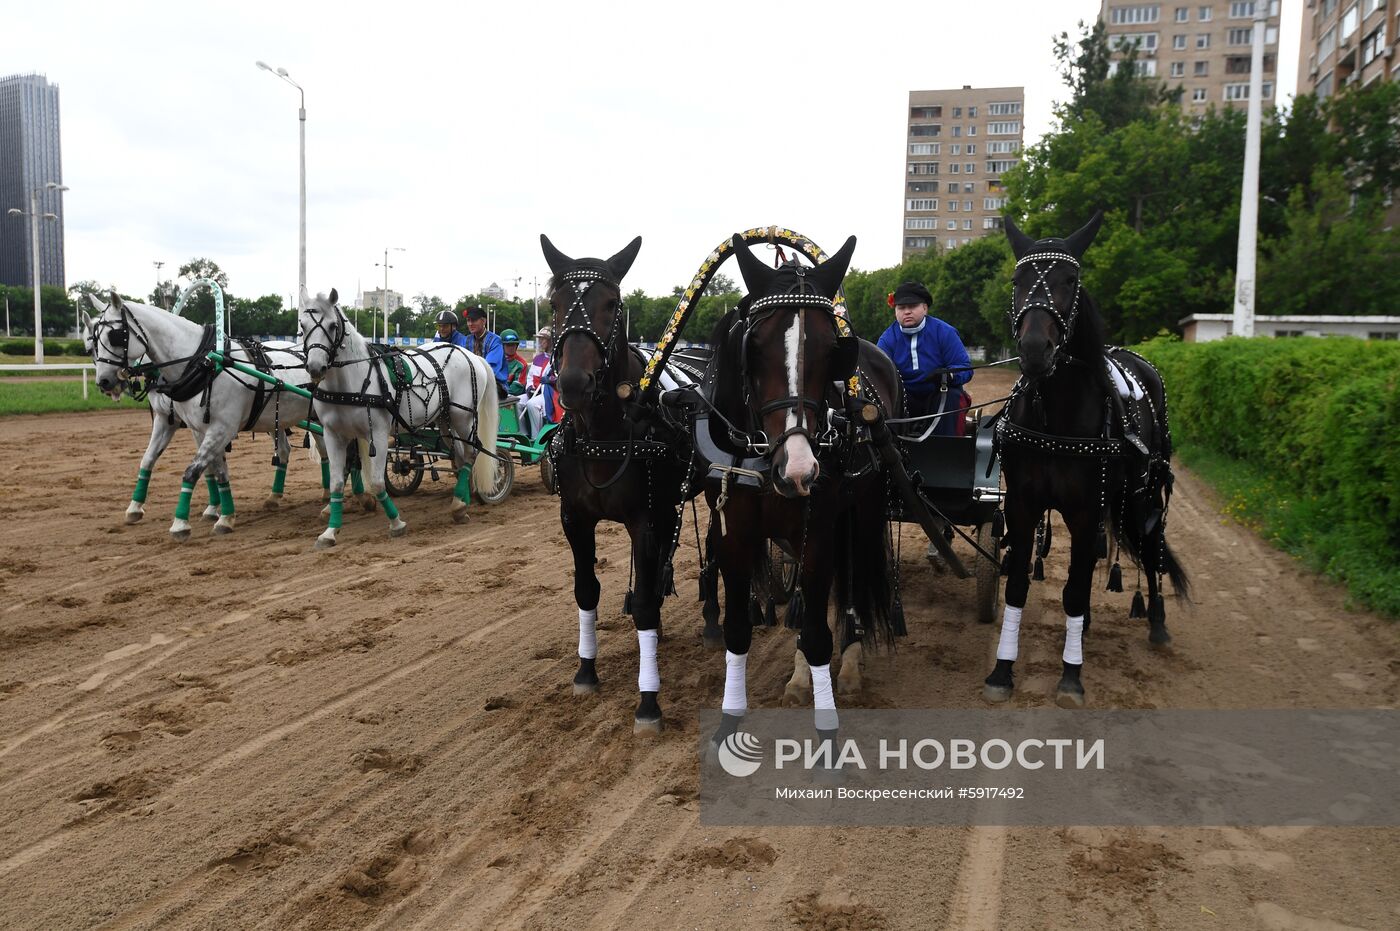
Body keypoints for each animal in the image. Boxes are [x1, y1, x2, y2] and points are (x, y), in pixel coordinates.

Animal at [298, 282, 501, 546]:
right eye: (302, 326)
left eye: (333, 325)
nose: (315, 367)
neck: (350, 383)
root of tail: (470, 355)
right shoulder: (334, 435)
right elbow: (336, 483)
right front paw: (330, 531)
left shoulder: (378, 433)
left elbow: (376, 482)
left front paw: (396, 523)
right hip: (445, 420)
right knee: (458, 456)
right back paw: (462, 501)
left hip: (463, 417)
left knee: (471, 453)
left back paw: (459, 504)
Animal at [540, 233, 705, 733]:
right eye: (554, 304)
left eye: (612, 304)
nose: (573, 383)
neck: (608, 434)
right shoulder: (575, 519)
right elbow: (586, 590)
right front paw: (586, 671)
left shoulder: (646, 518)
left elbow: (647, 603)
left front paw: (649, 700)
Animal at [705, 231, 901, 750]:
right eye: (753, 347)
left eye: (834, 349)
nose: (798, 469)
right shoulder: (734, 535)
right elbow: (738, 629)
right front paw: (729, 724)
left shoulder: (821, 529)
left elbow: (817, 632)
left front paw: (828, 732)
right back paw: (798, 676)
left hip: (861, 512)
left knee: (850, 586)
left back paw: (848, 663)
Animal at [985, 210, 1192, 705]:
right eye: (1019, 279)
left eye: (1071, 279)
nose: (1034, 350)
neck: (1057, 417)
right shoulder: (1023, 506)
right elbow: (1018, 586)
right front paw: (1003, 669)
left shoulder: (1084, 510)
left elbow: (1076, 592)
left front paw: (1071, 675)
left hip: (1141, 495)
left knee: (1151, 547)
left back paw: (1157, 620)